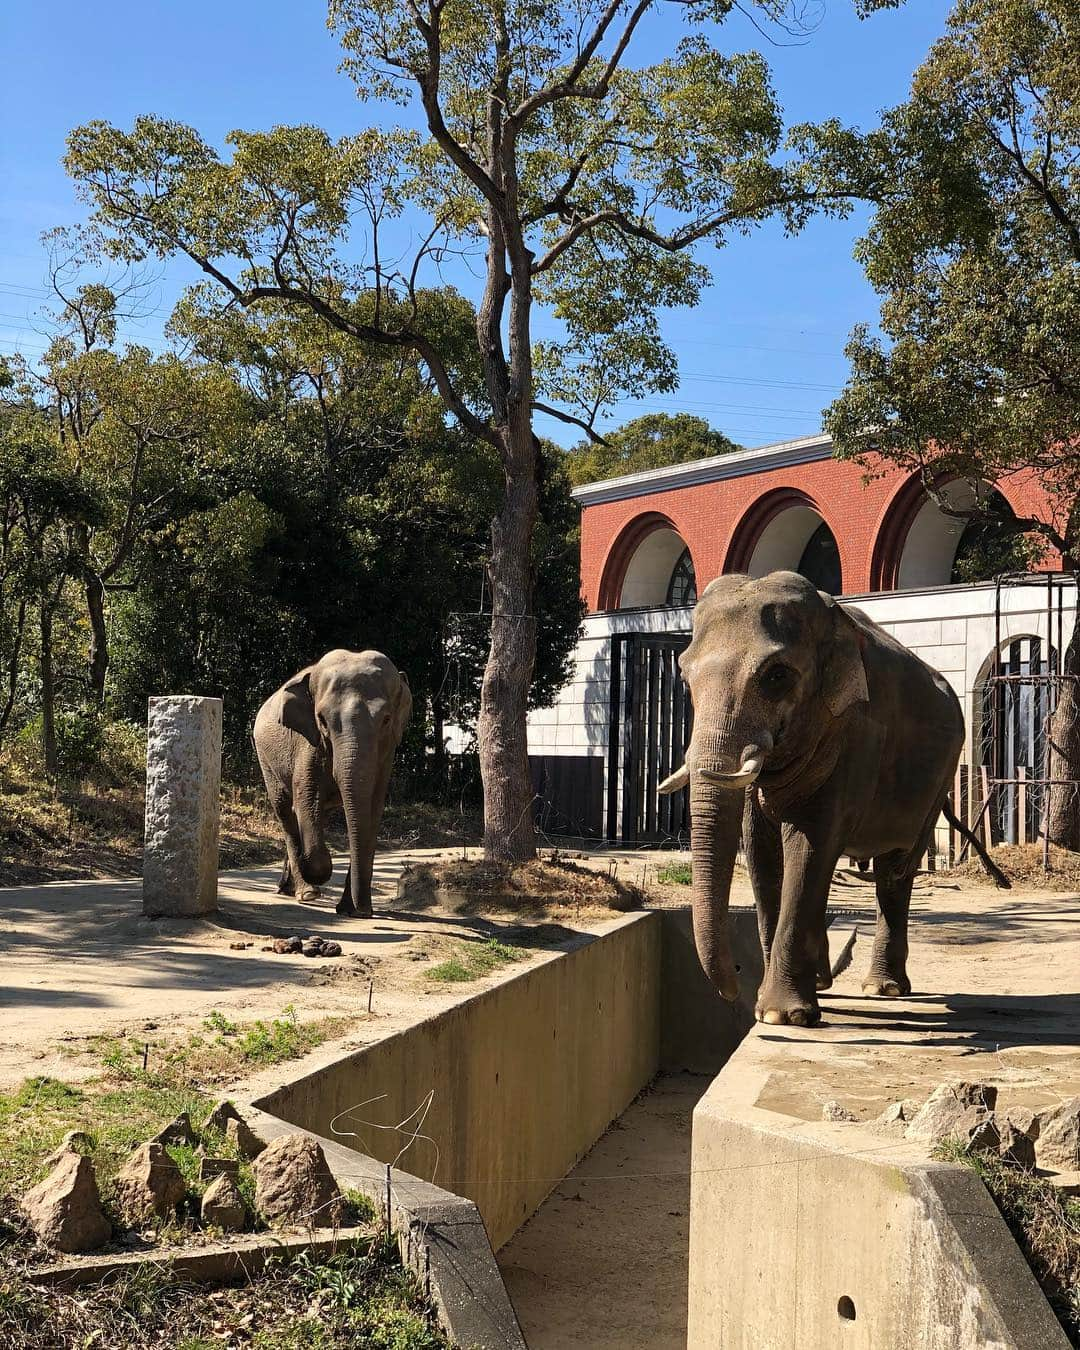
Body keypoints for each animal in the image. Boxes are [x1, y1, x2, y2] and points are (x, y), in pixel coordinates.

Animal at [253, 645, 413, 918]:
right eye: (322, 720)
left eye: (386, 719)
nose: (363, 911)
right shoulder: (307, 742)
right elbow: (306, 801)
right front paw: (314, 870)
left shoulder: (386, 753)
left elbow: (373, 810)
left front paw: (353, 910)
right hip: (266, 759)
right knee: (286, 813)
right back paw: (305, 891)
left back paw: (289, 888)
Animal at [661, 567, 966, 1020]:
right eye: (684, 676)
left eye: (777, 676)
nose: (733, 990)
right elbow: (761, 852)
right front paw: (771, 1006)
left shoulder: (855, 736)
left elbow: (809, 846)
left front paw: (780, 1015)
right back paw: (826, 982)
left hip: (941, 775)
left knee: (895, 871)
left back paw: (884, 989)